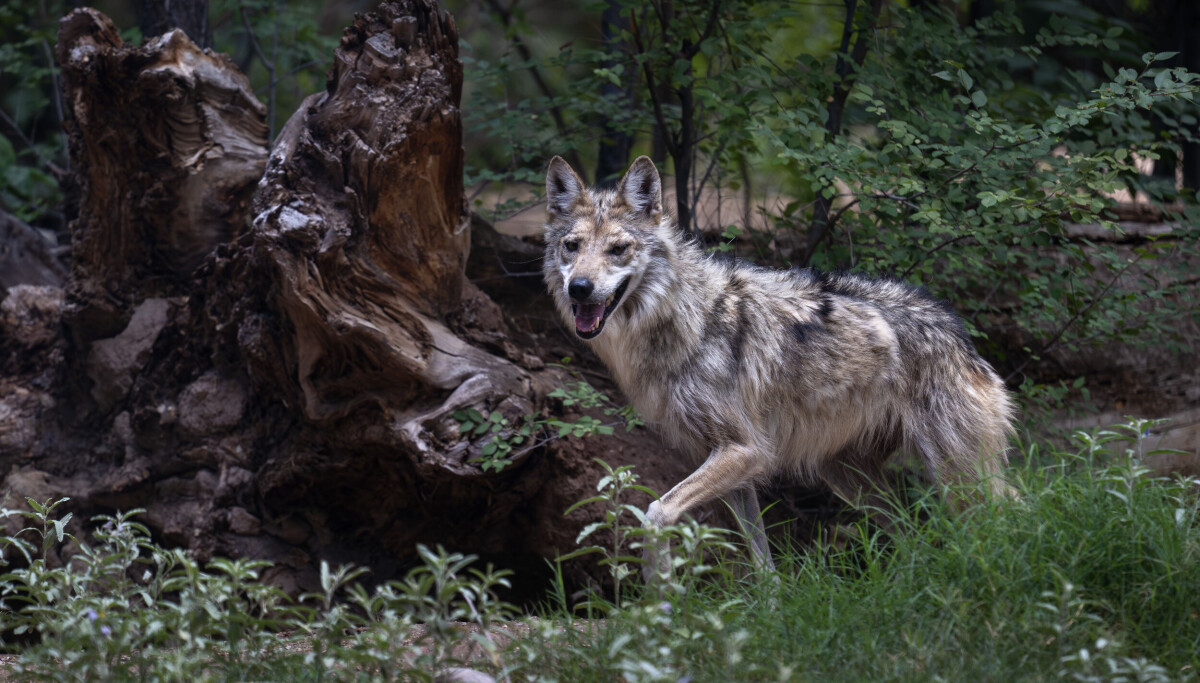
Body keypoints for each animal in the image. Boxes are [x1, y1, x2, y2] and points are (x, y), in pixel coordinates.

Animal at [542, 155, 1015, 571]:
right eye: (572, 247)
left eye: (618, 249)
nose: (579, 288)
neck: (688, 320)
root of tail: (959, 332)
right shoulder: (733, 462)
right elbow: (761, 559)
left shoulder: (744, 450)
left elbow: (656, 513)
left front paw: (660, 599)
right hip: (848, 478)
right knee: (910, 530)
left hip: (959, 478)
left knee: (1006, 513)